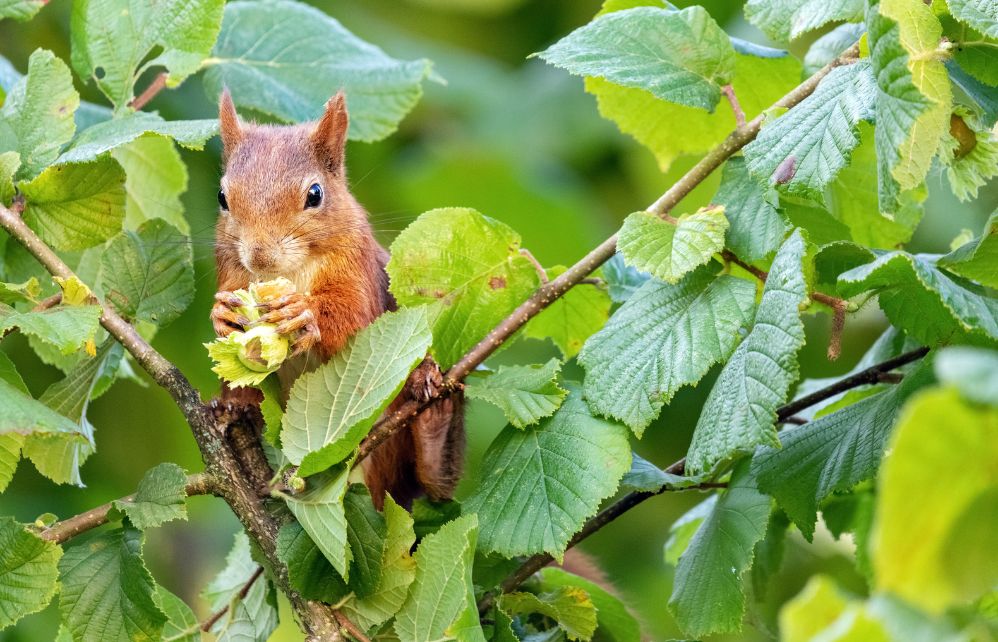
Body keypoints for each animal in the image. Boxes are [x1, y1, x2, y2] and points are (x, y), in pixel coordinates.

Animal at [210, 91, 464, 510]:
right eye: (222, 197)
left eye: (315, 194)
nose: (260, 256)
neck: (291, 273)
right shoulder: (230, 271)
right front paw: (221, 316)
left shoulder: (357, 272)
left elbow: (355, 319)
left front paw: (303, 314)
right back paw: (235, 407)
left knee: (435, 482)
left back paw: (433, 406)